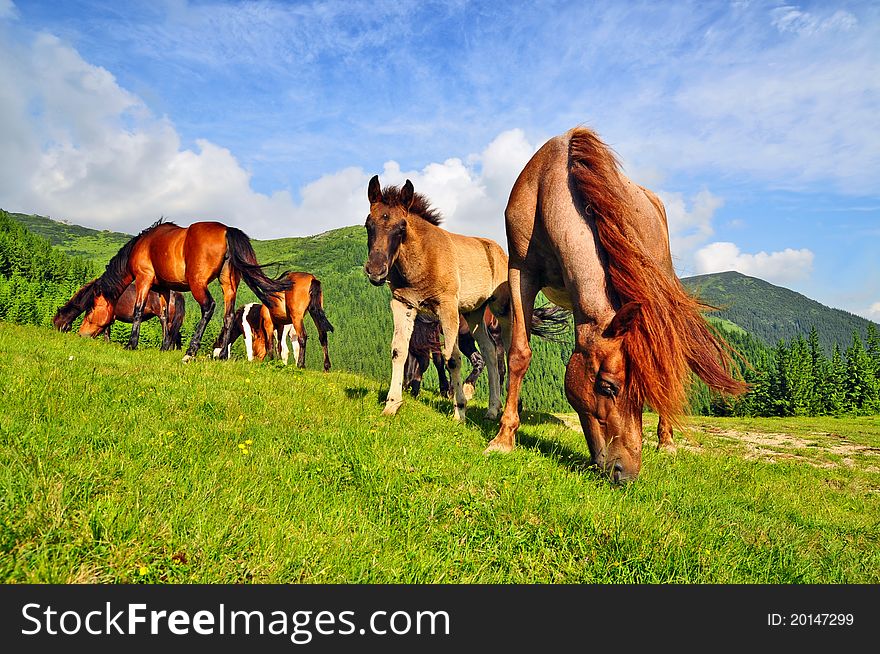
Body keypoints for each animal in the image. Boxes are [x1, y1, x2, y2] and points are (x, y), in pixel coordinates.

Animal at [53, 280, 184, 352]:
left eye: (57, 320)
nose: (56, 333)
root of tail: (176, 294)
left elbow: (106, 331)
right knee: (176, 335)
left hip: (165, 318)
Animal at [368, 176, 512, 420]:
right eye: (368, 224)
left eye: (402, 227)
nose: (376, 271)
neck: (423, 257)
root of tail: (500, 251)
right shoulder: (403, 304)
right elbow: (399, 350)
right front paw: (391, 405)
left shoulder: (447, 307)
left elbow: (452, 357)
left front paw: (459, 410)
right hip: (474, 314)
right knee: (490, 352)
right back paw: (493, 409)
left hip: (503, 310)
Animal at [484, 128, 744, 484]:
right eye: (609, 387)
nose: (626, 472)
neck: (547, 188)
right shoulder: (520, 273)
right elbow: (519, 354)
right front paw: (504, 436)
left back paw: (667, 441)